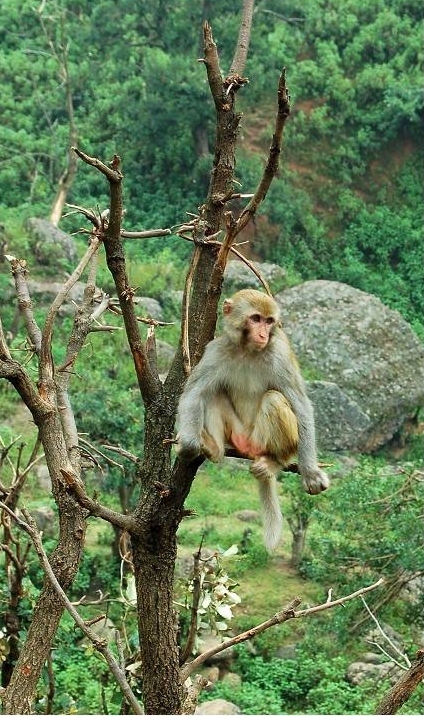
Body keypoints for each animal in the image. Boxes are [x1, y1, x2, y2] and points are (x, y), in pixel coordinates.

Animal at [176, 288, 328, 552]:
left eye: (269, 321)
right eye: (256, 318)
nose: (263, 334)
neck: (248, 350)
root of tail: (250, 446)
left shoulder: (279, 353)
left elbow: (300, 404)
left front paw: (311, 473)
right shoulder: (216, 350)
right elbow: (194, 394)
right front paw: (189, 445)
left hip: (263, 438)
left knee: (274, 399)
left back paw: (274, 461)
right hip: (238, 434)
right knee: (213, 393)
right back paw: (214, 448)